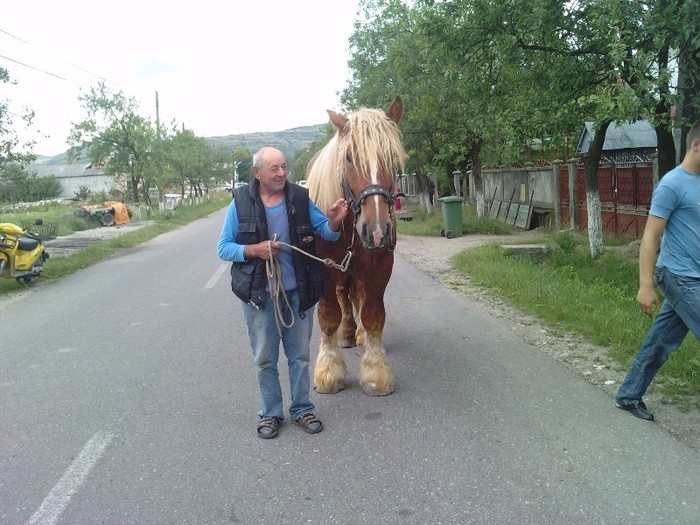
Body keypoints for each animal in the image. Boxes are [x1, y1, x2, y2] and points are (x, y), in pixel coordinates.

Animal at [306, 96, 404, 396]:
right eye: (348, 157)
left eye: (391, 157)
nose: (377, 230)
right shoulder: (325, 269)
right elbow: (328, 314)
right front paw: (328, 370)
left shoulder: (380, 266)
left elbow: (373, 314)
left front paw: (376, 371)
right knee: (343, 297)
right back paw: (347, 333)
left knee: (357, 297)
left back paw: (358, 336)